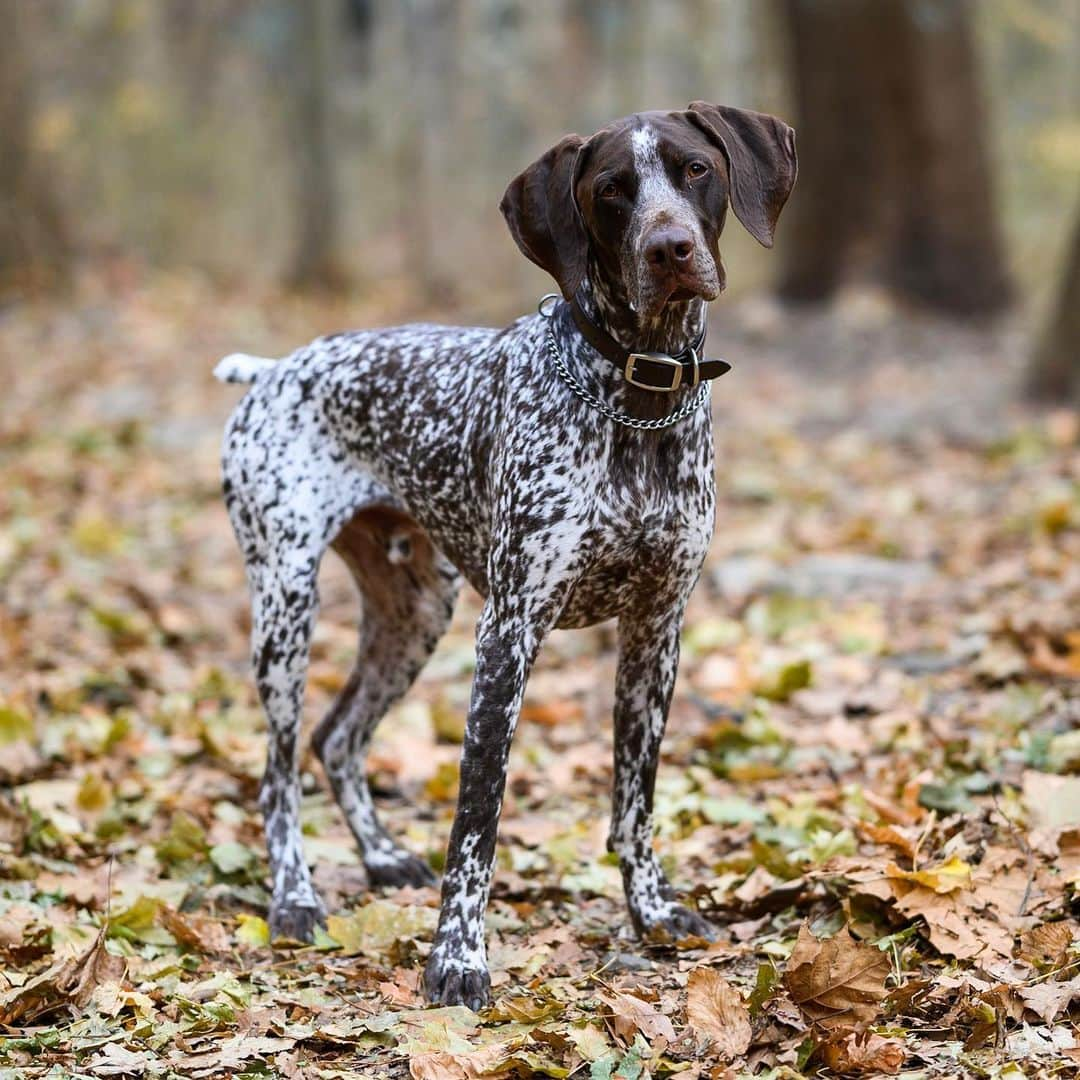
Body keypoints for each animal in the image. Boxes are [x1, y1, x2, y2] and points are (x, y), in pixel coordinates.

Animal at [214, 105, 799, 1006]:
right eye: (611, 190)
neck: (635, 399)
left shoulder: (656, 633)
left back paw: (382, 857)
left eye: (696, 170)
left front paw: (653, 913)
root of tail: (276, 370)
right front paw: (457, 960)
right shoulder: (510, 635)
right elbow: (476, 823)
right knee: (279, 769)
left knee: (338, 739)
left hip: (415, 611)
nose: (669, 249)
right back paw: (295, 900)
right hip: (286, 611)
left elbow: (635, 801)